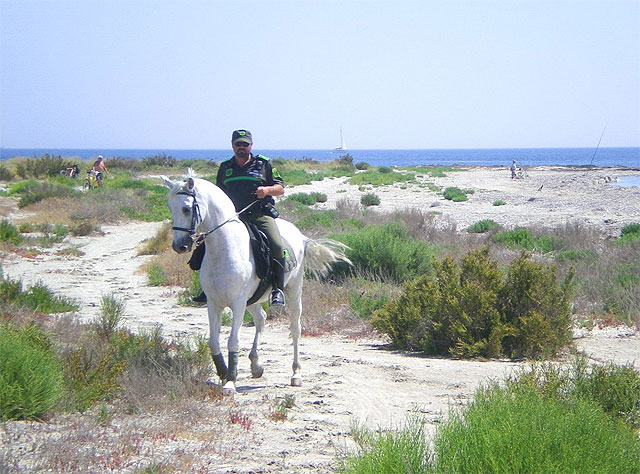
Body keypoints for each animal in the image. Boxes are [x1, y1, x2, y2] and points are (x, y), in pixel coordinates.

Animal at [160, 172, 350, 394]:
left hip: (292, 292)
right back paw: (256, 365)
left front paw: (230, 381)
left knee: (295, 329)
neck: (225, 248)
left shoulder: (237, 303)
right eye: (170, 207)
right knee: (261, 318)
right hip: (252, 300)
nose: (179, 246)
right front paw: (223, 374)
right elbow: (213, 342)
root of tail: (299, 234)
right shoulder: (214, 303)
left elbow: (233, 341)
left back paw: (296, 374)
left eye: (186, 208)